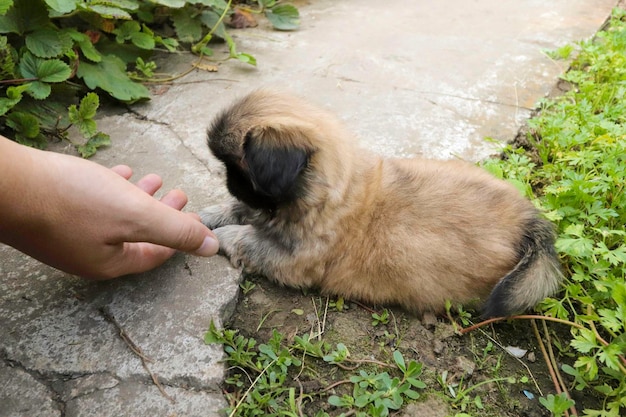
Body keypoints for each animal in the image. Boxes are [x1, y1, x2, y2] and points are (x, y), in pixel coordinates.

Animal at [200, 88, 560, 316]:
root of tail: (527, 221)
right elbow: (245, 212)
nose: (229, 183)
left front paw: (221, 235)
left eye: (239, 169)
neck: (332, 193)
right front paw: (212, 214)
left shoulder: (292, 259)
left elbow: (249, 238)